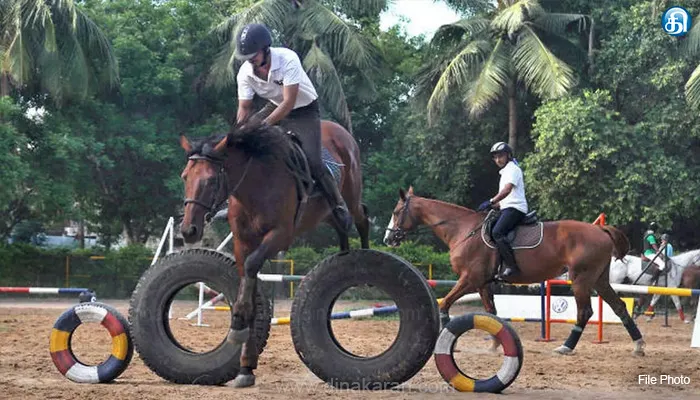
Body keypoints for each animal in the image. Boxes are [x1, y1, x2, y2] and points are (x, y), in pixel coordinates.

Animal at [178, 120, 370, 386]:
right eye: (185, 177)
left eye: (210, 181)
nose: (189, 230)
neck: (254, 187)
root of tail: (339, 129)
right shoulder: (242, 242)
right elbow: (248, 284)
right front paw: (245, 365)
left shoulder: (280, 235)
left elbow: (252, 266)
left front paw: (238, 322)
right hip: (323, 213)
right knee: (341, 225)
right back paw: (343, 252)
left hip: (351, 196)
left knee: (361, 216)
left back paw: (364, 253)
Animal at [382, 188, 644, 356]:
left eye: (395, 212)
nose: (388, 239)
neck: (462, 229)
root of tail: (600, 230)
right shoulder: (483, 283)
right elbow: (491, 311)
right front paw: (495, 344)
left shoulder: (470, 279)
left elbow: (445, 304)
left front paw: (449, 340)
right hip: (598, 280)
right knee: (619, 306)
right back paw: (638, 345)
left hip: (581, 279)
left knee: (584, 312)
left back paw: (567, 346)